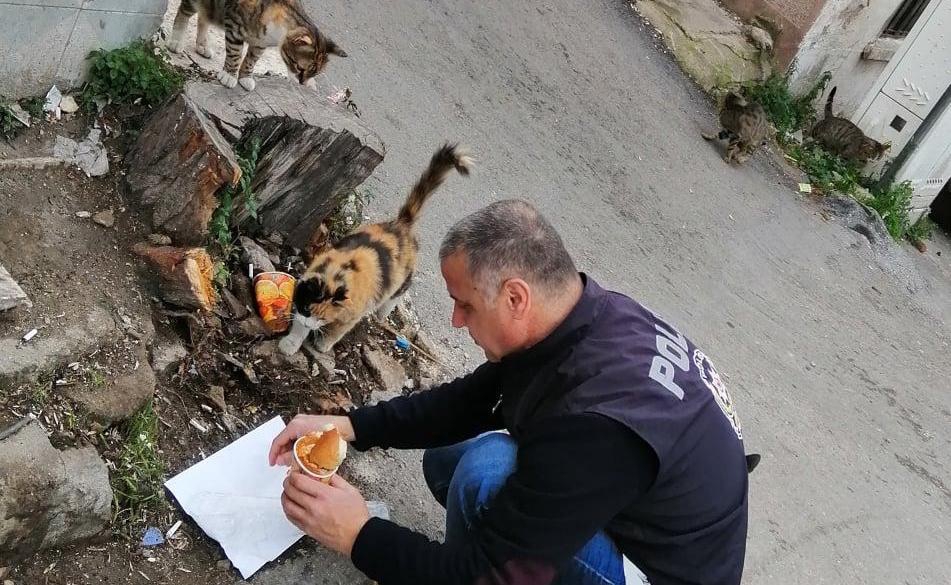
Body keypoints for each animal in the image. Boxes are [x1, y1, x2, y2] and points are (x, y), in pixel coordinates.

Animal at [166, 0, 346, 91]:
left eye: (313, 74)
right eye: (299, 68)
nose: (302, 83)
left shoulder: (260, 43)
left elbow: (251, 60)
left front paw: (245, 77)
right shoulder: (235, 27)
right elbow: (235, 54)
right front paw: (229, 75)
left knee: (204, 16)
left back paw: (202, 45)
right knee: (184, 12)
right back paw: (176, 41)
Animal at [278, 145, 474, 356]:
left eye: (322, 318)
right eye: (307, 310)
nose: (310, 325)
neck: (336, 275)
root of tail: (401, 224)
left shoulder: (351, 315)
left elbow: (336, 331)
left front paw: (322, 345)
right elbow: (298, 326)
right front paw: (290, 344)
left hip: (402, 279)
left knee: (399, 292)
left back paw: (382, 313)